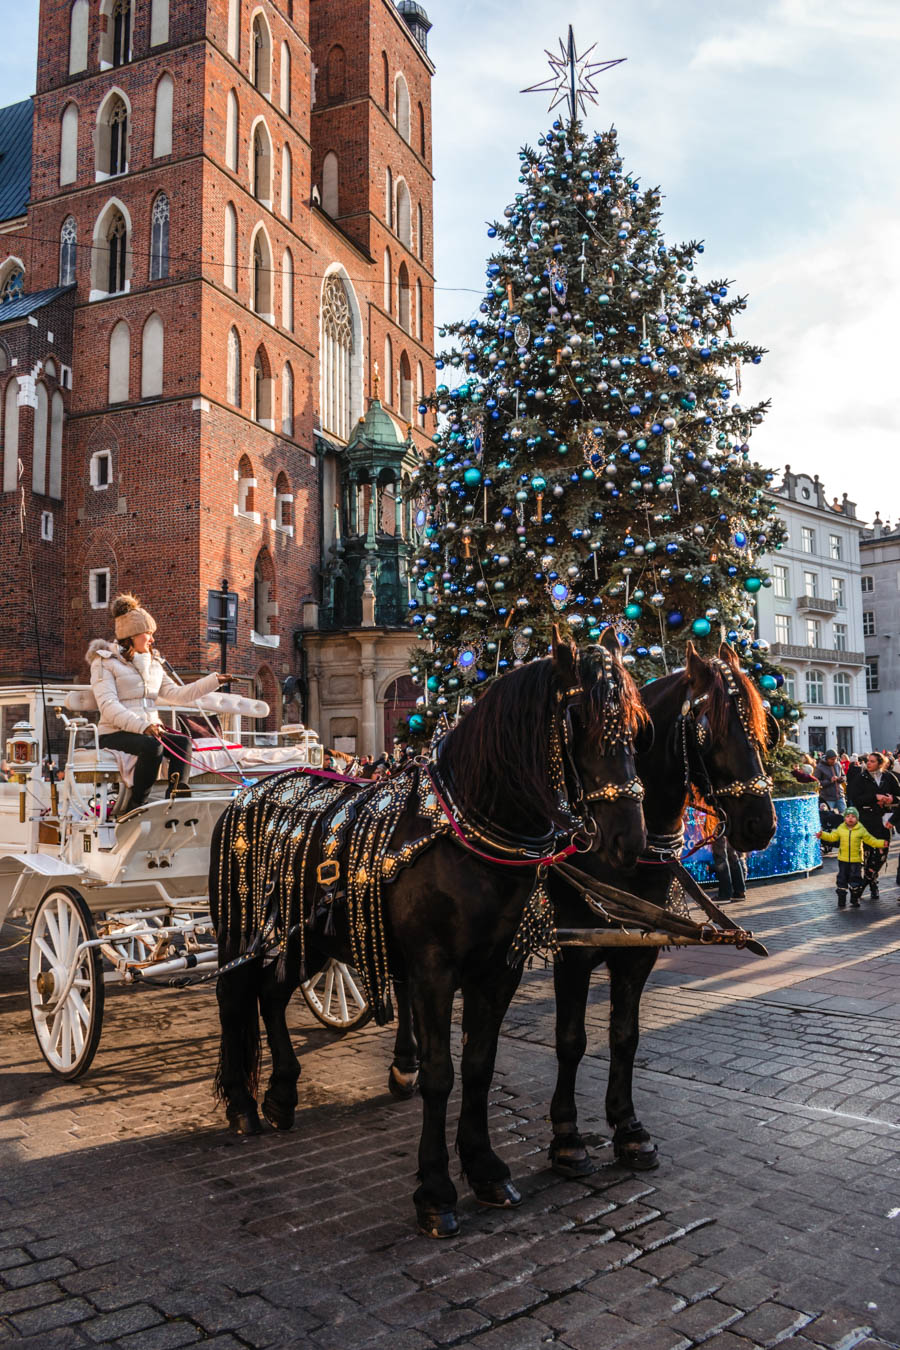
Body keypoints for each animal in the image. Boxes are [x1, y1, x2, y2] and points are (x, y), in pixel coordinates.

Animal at [211, 631, 647, 1236]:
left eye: (637, 723)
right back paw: (241, 1105)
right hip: (241, 929)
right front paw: (436, 1191)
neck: (469, 836)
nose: (632, 841)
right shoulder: (435, 970)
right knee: (235, 996)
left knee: (272, 995)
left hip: (311, 938)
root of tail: (252, 789)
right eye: (579, 717)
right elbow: (441, 1074)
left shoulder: (499, 970)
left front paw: (485, 1169)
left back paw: (279, 1095)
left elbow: (480, 1066)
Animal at [545, 637, 777, 1177]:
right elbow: (570, 1040)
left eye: (763, 727)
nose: (762, 824)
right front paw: (567, 1138)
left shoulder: (637, 951)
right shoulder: (572, 950)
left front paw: (628, 1128)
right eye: (709, 728)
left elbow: (624, 1036)